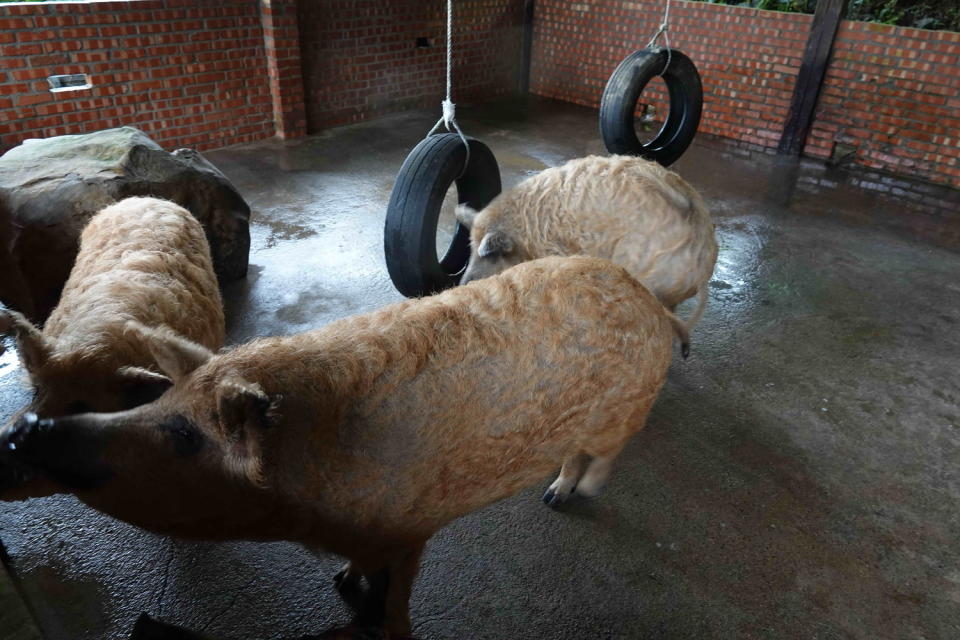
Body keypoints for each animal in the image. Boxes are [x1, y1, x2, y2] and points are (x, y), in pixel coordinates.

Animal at [3, 255, 688, 636]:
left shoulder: (409, 527)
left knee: (604, 453)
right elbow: (357, 573)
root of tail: (655, 306)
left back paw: (566, 498)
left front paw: (378, 616)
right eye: (158, 404)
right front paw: (341, 582)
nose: (27, 428)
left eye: (183, 436)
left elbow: (396, 598)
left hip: (624, 408)